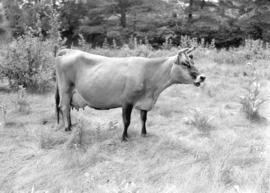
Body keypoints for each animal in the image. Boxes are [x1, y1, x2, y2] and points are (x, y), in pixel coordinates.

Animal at [55, 46, 207, 140]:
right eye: (185, 63)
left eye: (193, 62)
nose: (202, 77)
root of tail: (69, 50)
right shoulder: (127, 101)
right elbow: (127, 121)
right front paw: (124, 137)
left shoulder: (144, 102)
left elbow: (143, 118)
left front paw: (144, 133)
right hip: (65, 89)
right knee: (64, 107)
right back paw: (68, 129)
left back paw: (71, 126)